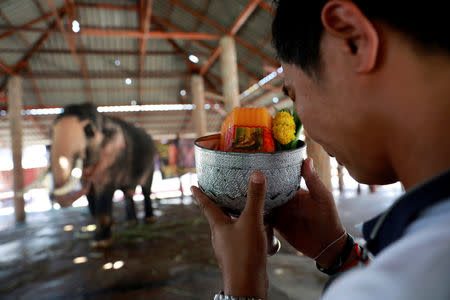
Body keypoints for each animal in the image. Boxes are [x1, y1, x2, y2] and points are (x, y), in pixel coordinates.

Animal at [49, 102, 156, 246]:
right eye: (51, 132)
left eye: (89, 130)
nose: (51, 196)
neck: (105, 119)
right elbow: (91, 198)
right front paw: (107, 229)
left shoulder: (115, 159)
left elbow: (104, 191)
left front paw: (101, 242)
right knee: (128, 192)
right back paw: (131, 223)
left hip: (151, 162)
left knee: (146, 189)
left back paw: (149, 220)